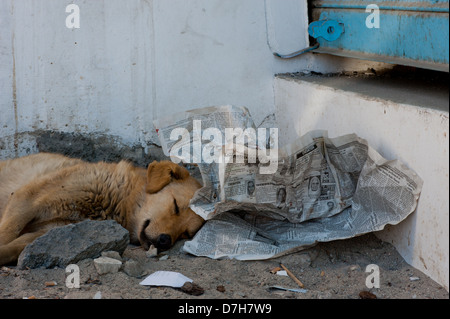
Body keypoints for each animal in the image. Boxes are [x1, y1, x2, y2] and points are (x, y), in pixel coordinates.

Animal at [0, 154, 204, 266]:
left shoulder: (48, 231)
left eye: (186, 234)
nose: (165, 241)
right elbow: (6, 234)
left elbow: (14, 247)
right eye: (175, 206)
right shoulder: (26, 200)